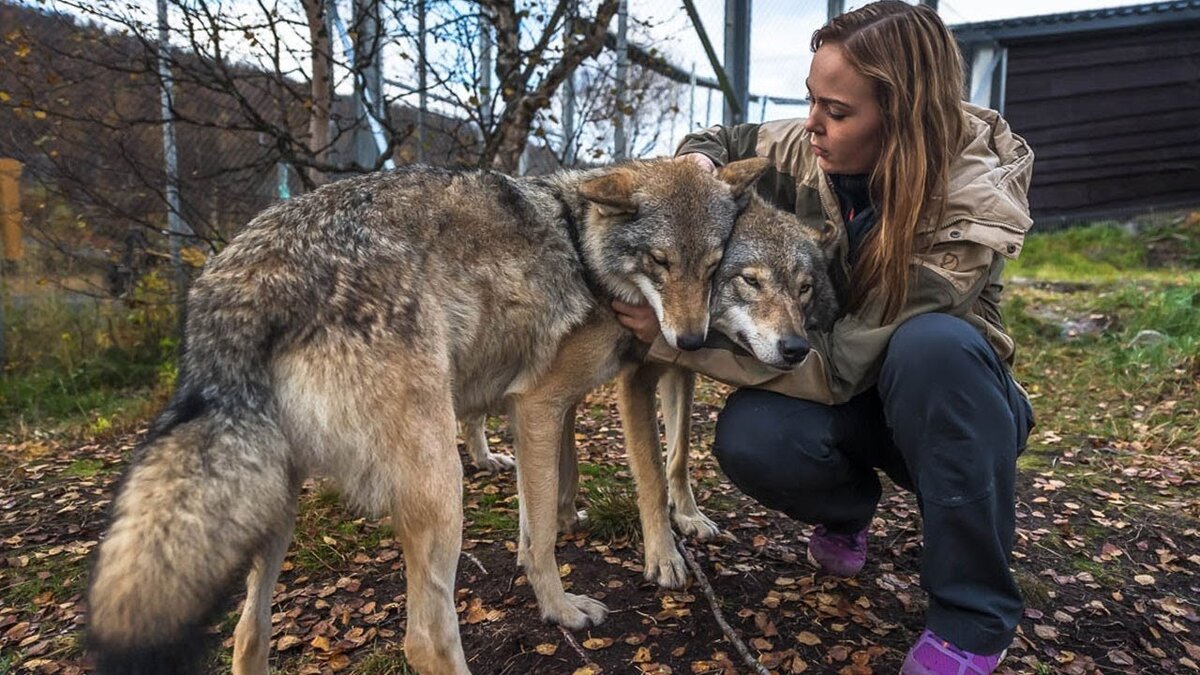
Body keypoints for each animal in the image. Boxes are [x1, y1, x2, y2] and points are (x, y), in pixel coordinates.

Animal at [87, 156, 768, 672]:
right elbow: (543, 536)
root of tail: (245, 280)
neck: (582, 247)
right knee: (425, 641)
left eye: (713, 268)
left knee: (248, 634)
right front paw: (564, 610)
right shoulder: (538, 406)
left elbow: (544, 515)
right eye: (660, 262)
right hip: (442, 487)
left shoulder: (539, 412)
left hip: (276, 503)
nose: (689, 341)